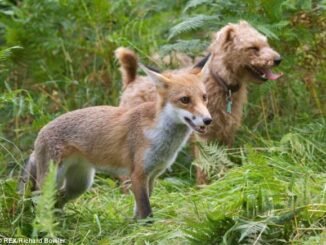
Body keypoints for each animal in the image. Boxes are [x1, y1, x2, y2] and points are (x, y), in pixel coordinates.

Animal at [21, 47, 214, 218]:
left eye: (204, 97)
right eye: (185, 100)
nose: (208, 120)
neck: (160, 137)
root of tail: (40, 132)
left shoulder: (152, 175)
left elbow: (139, 210)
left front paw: (133, 227)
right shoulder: (137, 175)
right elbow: (146, 212)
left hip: (80, 184)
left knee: (57, 200)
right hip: (52, 182)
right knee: (39, 202)